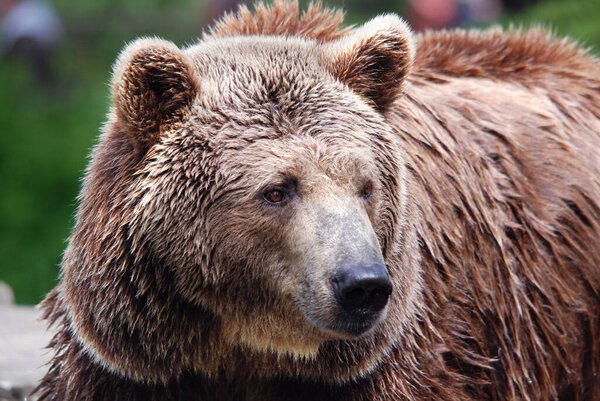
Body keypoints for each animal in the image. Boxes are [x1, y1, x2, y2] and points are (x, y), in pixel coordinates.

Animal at [32, 0, 600, 400]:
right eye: (277, 190)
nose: (362, 285)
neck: (246, 348)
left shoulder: (399, 362)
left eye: (366, 186)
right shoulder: (129, 366)